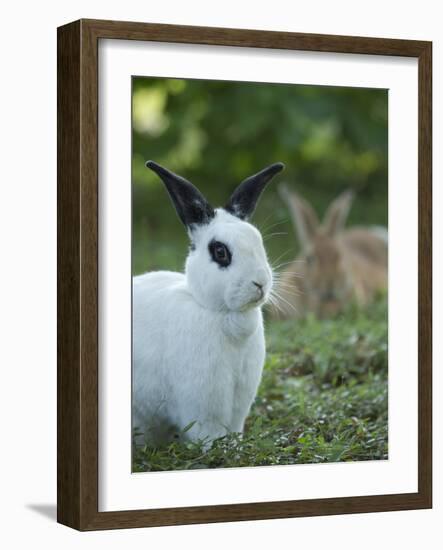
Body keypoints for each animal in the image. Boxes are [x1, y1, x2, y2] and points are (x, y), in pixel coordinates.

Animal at [132, 160, 284, 448]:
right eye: (220, 251)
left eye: (258, 242)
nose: (259, 283)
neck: (222, 314)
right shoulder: (203, 402)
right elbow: (208, 433)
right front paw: (219, 450)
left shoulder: (239, 402)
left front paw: (234, 446)